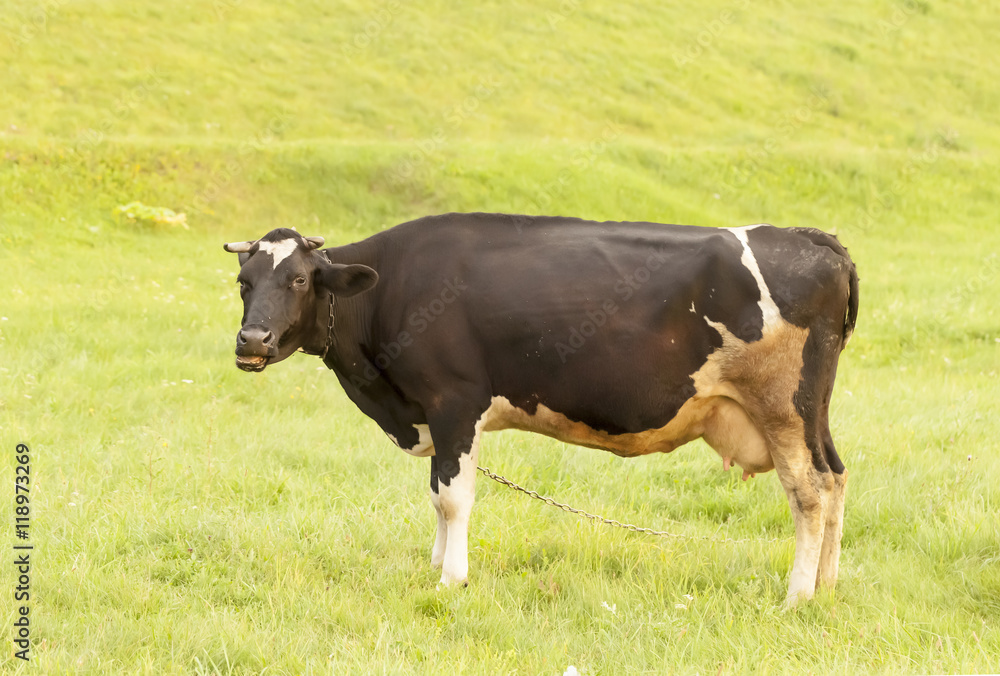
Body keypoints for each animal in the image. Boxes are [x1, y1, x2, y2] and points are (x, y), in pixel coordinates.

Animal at [225, 214, 860, 604]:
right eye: (243, 282)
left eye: (300, 279)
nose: (252, 340)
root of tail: (808, 238)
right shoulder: (435, 415)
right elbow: (435, 496)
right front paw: (435, 565)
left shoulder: (454, 403)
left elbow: (453, 498)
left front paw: (451, 579)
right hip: (813, 412)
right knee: (834, 477)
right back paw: (827, 587)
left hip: (783, 406)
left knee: (807, 491)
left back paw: (797, 594)